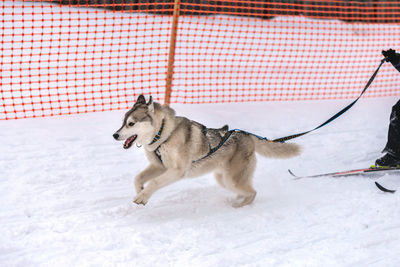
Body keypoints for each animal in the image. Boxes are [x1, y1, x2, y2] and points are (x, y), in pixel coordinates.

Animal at [112, 95, 300, 208]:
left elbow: (154, 182)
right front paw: (140, 191)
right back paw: (237, 199)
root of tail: (247, 135)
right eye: (122, 122)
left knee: (253, 192)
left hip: (232, 180)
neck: (163, 133)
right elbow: (138, 178)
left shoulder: (177, 171)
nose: (115, 135)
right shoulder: (159, 166)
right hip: (223, 179)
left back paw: (239, 206)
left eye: (131, 123)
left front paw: (142, 196)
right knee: (245, 190)